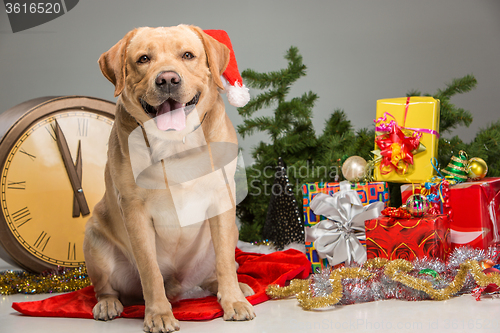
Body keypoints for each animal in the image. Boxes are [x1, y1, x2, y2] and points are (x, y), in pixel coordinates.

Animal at [84, 24, 256, 330]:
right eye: (143, 59)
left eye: (187, 55)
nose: (167, 79)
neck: (176, 144)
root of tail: (179, 285)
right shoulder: (134, 210)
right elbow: (150, 270)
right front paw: (158, 314)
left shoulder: (221, 199)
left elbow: (225, 261)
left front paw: (234, 301)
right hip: (94, 239)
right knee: (105, 287)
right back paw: (107, 303)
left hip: (227, 235)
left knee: (219, 269)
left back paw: (238, 288)